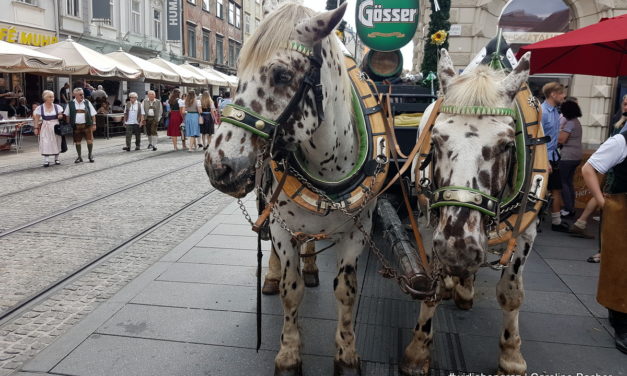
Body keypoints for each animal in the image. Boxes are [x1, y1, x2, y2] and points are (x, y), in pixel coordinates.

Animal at [204, 1, 398, 374]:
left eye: (281, 75)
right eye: (237, 74)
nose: (217, 166)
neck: (327, 167)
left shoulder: (359, 230)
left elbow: (347, 291)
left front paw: (346, 352)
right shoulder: (282, 227)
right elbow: (290, 291)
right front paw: (289, 352)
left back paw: (310, 266)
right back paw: (272, 275)